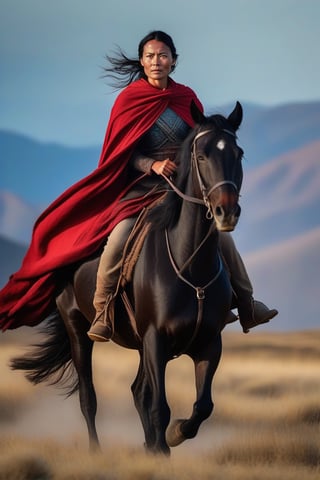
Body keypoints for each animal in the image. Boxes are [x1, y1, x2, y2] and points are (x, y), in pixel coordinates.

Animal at [11, 100, 242, 454]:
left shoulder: (208, 342)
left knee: (137, 391)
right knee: (89, 397)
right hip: (78, 328)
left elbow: (202, 406)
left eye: (238, 153)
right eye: (202, 155)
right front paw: (162, 445)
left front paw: (172, 437)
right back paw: (96, 451)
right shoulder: (155, 338)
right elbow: (159, 406)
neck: (190, 265)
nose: (225, 211)